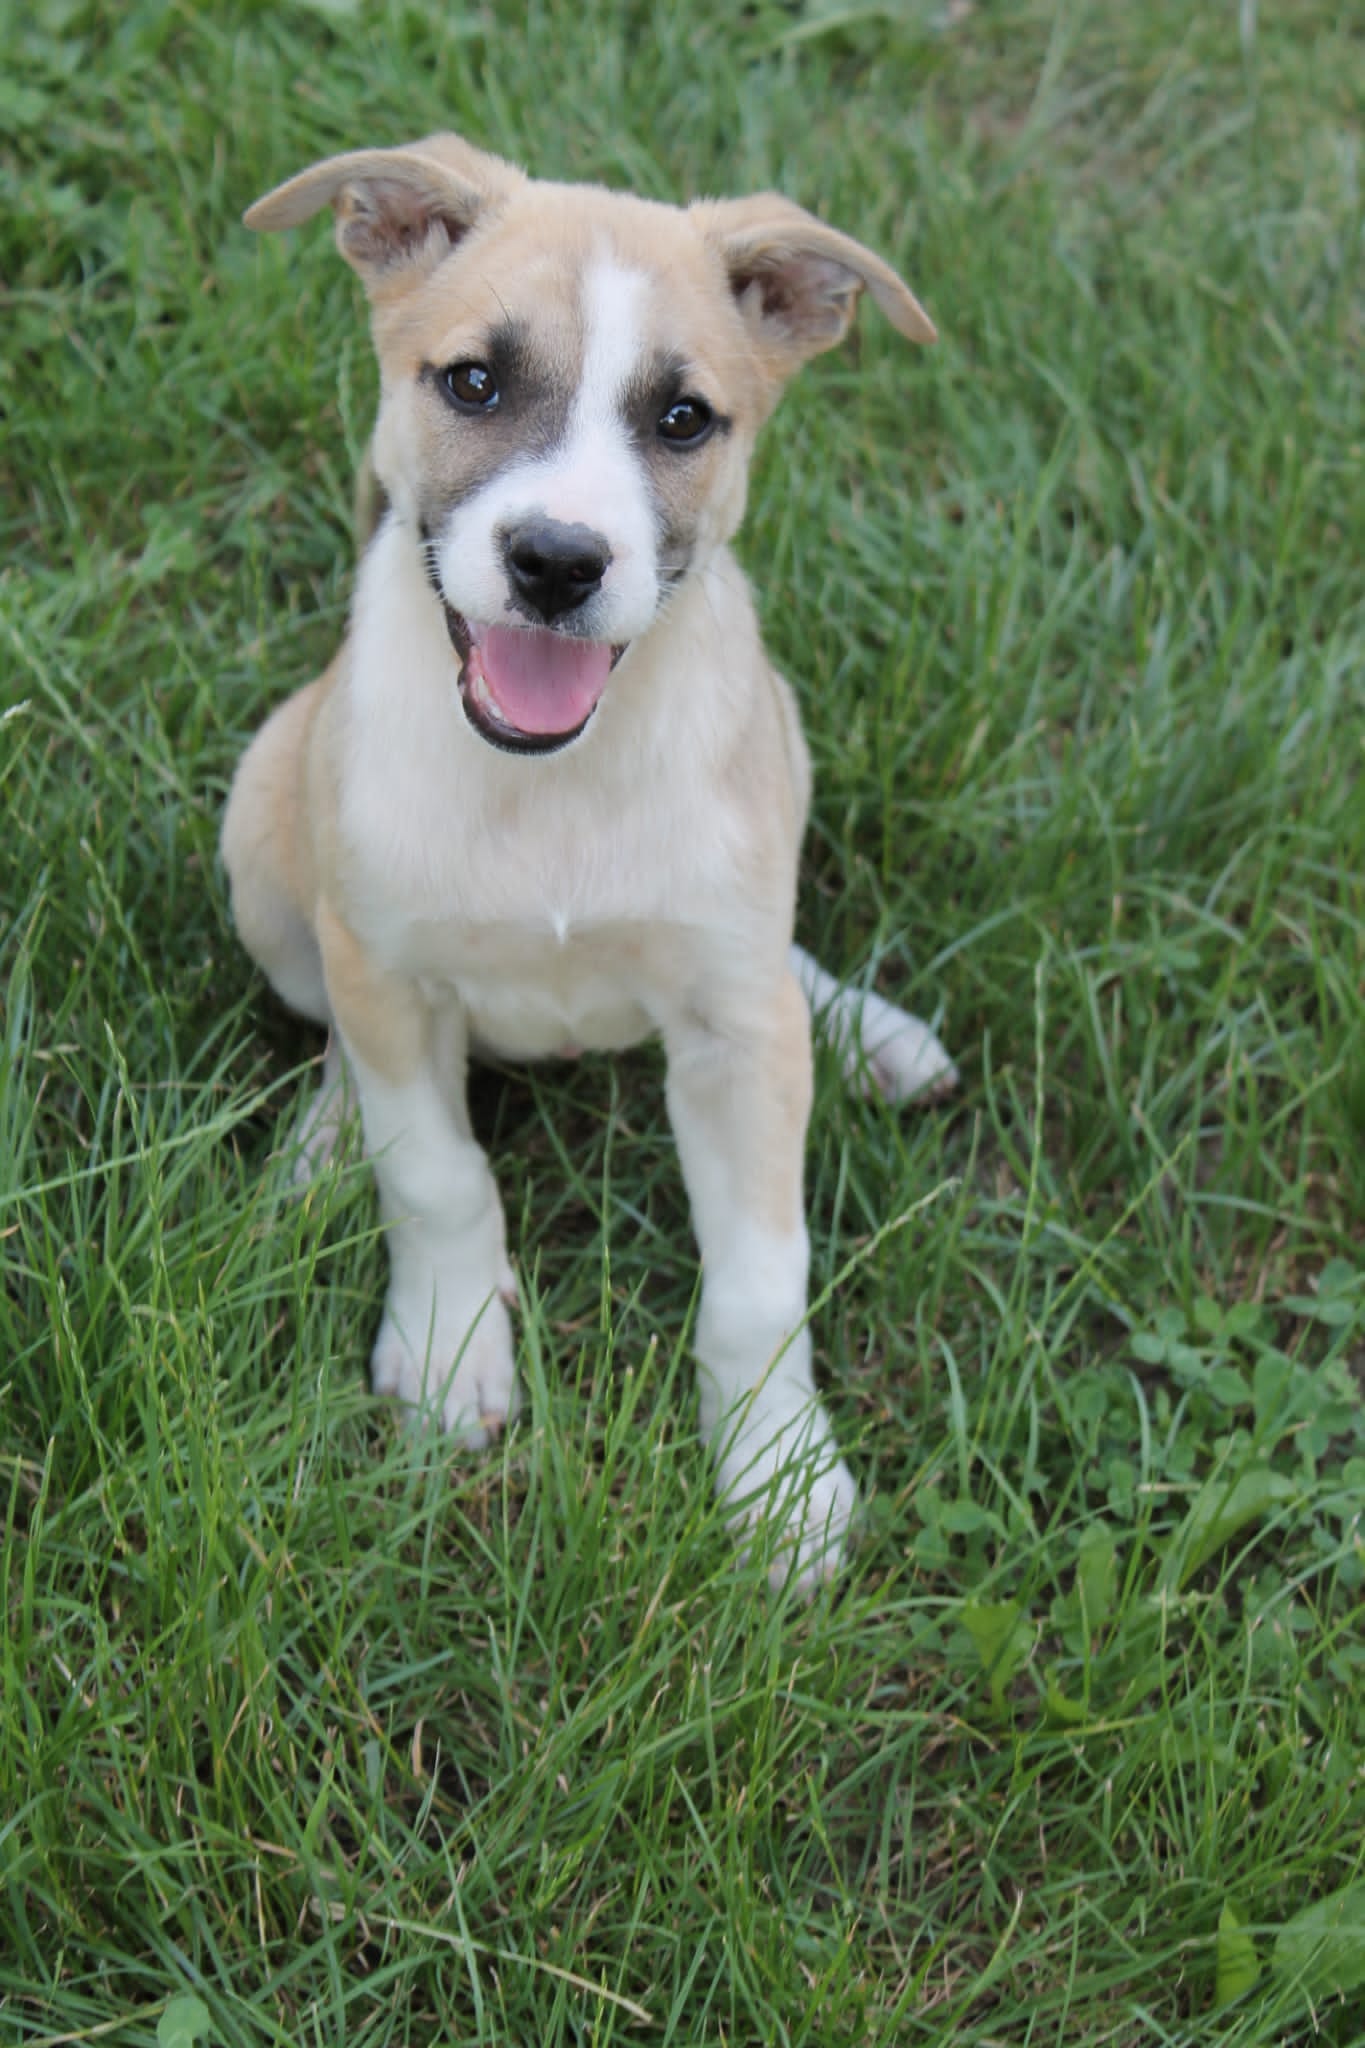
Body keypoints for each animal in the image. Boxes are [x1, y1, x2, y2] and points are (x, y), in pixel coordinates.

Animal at [221, 134, 956, 1590]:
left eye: (682, 420)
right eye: (473, 382)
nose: (557, 562)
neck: (549, 780)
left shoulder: (729, 1031)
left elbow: (760, 1278)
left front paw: (780, 1480)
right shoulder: (389, 974)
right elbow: (435, 1174)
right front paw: (449, 1353)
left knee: (781, 959)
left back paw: (866, 1033)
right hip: (265, 832)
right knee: (335, 1031)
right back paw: (319, 1152)